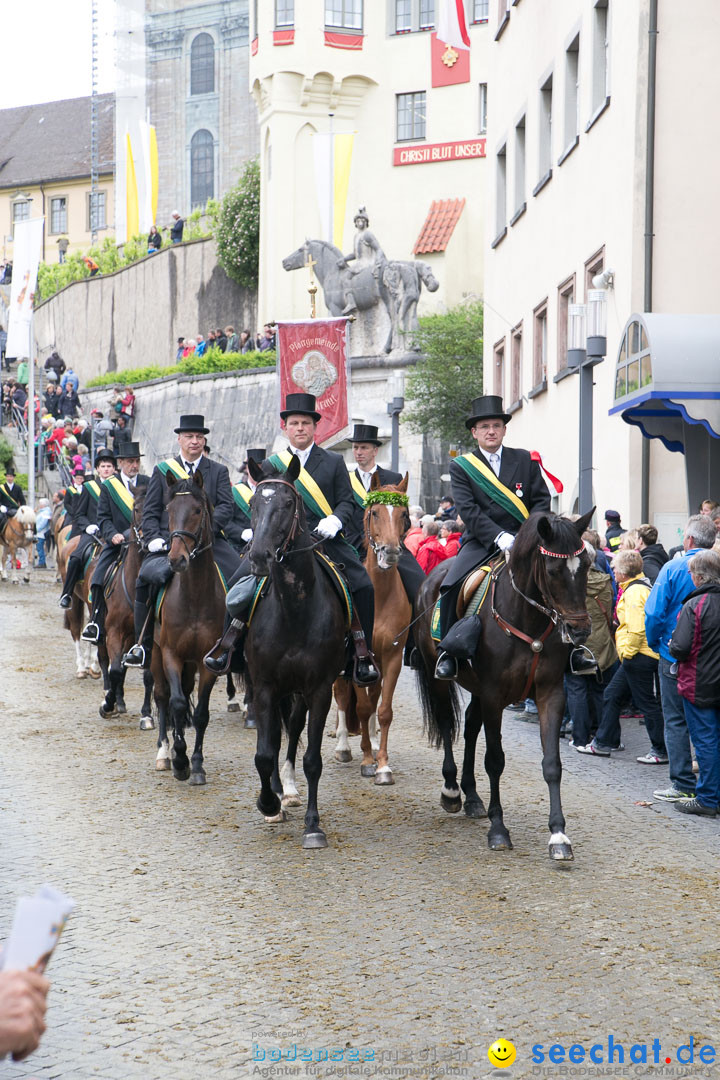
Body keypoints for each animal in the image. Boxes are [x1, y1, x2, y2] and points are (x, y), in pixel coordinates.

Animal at [246, 451, 349, 846]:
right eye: (253, 503)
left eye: (288, 503)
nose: (259, 556)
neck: (294, 610)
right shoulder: (263, 685)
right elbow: (264, 752)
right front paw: (267, 803)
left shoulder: (319, 689)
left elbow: (312, 760)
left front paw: (313, 824)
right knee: (276, 735)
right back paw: (278, 792)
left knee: (291, 729)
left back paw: (288, 789)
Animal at [414, 509, 595, 864]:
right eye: (552, 571)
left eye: (586, 566)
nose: (579, 631)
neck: (529, 623)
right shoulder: (495, 696)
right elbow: (495, 760)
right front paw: (498, 830)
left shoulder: (550, 694)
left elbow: (552, 764)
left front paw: (558, 835)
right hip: (437, 674)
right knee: (447, 723)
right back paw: (452, 790)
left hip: (476, 689)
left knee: (470, 728)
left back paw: (471, 796)